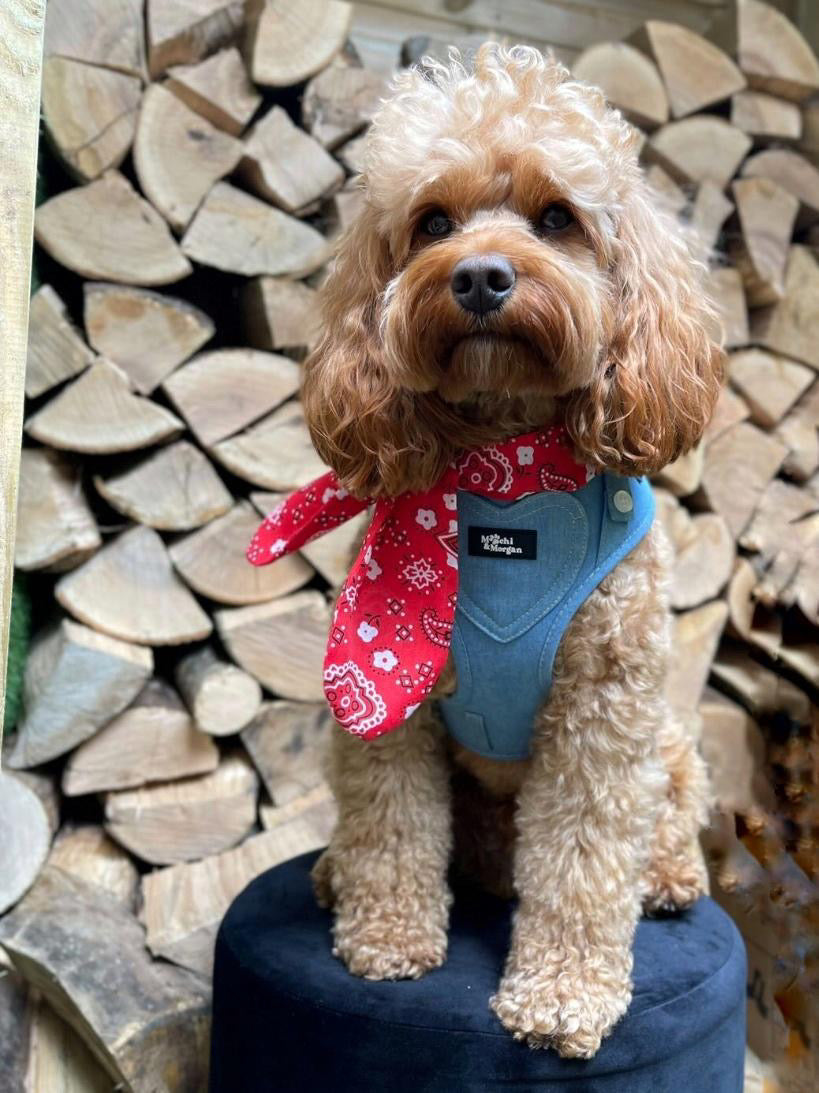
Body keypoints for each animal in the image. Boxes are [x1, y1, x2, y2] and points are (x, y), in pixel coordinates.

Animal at [256, 44, 721, 1058]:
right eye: (432, 220)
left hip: (666, 737)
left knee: (666, 808)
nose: (476, 277)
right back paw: (336, 874)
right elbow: (392, 824)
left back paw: (666, 878)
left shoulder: (602, 709)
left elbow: (583, 858)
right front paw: (387, 936)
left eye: (556, 218)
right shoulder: (393, 713)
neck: (503, 478)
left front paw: (562, 994)